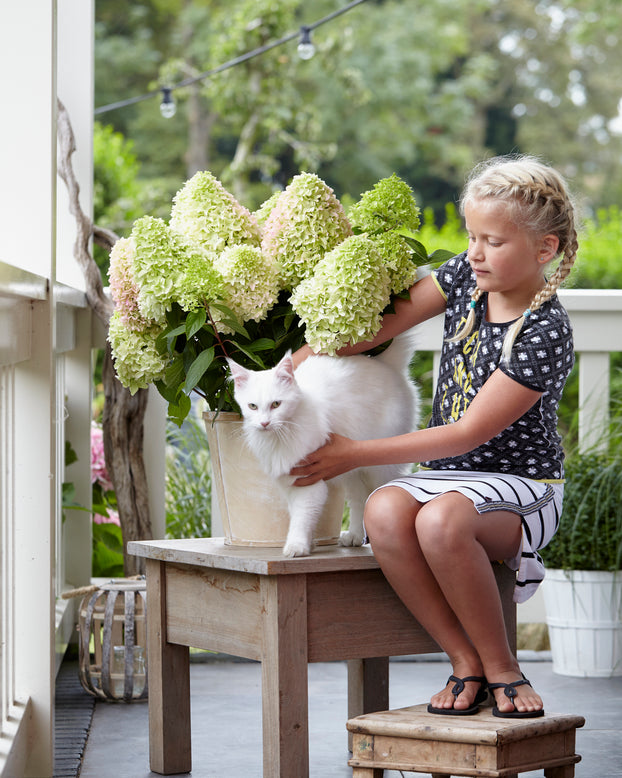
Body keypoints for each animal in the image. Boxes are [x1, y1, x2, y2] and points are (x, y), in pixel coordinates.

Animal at [227, 334, 422, 556]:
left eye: (276, 404)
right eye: (252, 406)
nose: (264, 423)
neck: (279, 437)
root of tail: (386, 363)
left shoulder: (308, 482)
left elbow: (301, 518)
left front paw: (296, 546)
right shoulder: (291, 482)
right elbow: (300, 516)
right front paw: (308, 543)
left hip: (379, 468)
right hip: (352, 467)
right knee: (359, 499)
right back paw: (355, 536)